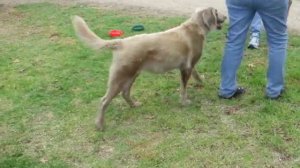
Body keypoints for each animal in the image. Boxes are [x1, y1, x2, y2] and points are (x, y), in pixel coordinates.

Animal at [72, 6, 226, 130]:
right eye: (216, 12)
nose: (225, 17)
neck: (195, 27)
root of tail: (121, 42)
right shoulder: (186, 68)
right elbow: (184, 89)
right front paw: (184, 102)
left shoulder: (189, 66)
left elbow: (196, 74)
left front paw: (201, 81)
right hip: (120, 77)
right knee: (104, 101)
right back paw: (100, 125)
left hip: (131, 75)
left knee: (125, 93)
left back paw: (134, 105)